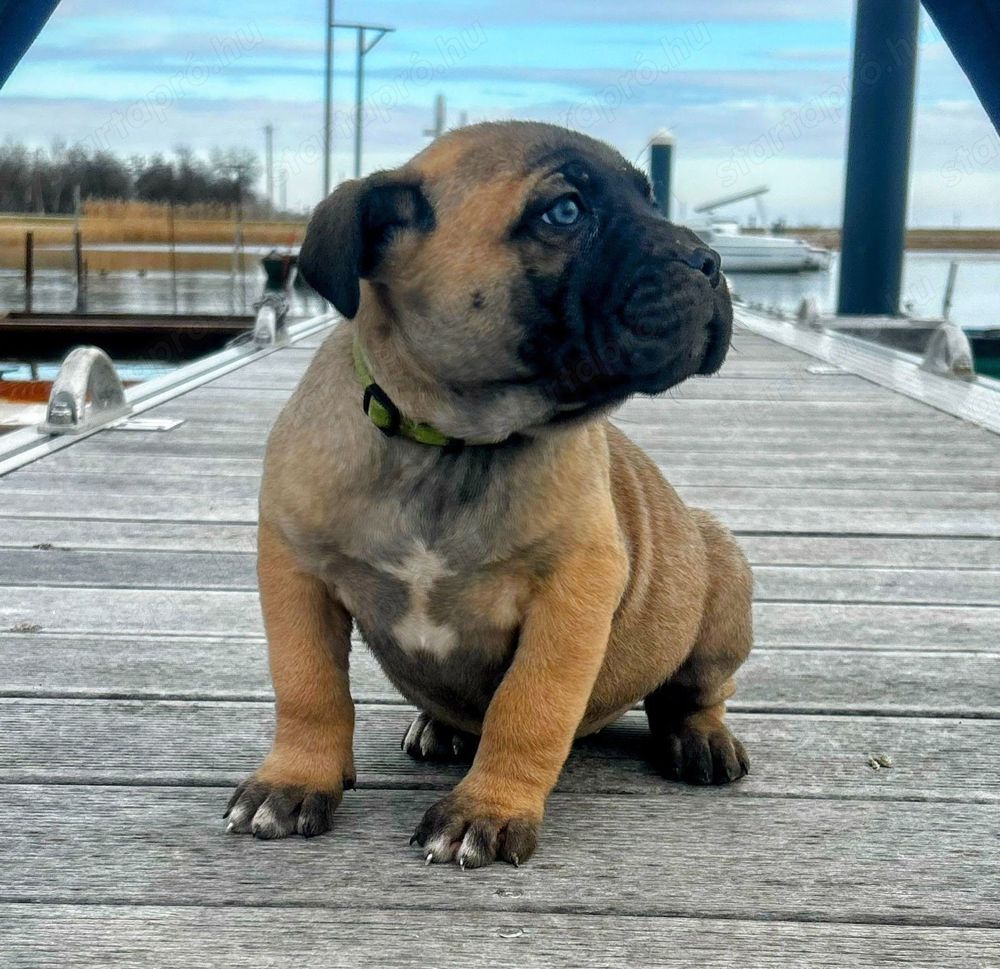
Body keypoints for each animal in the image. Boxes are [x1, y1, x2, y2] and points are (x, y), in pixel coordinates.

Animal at [225, 121, 752, 868]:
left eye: (651, 199)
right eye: (564, 212)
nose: (708, 260)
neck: (452, 443)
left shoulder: (572, 594)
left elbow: (527, 708)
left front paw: (486, 810)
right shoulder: (296, 573)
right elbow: (308, 686)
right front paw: (294, 780)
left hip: (723, 578)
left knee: (696, 691)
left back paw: (701, 739)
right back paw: (439, 726)